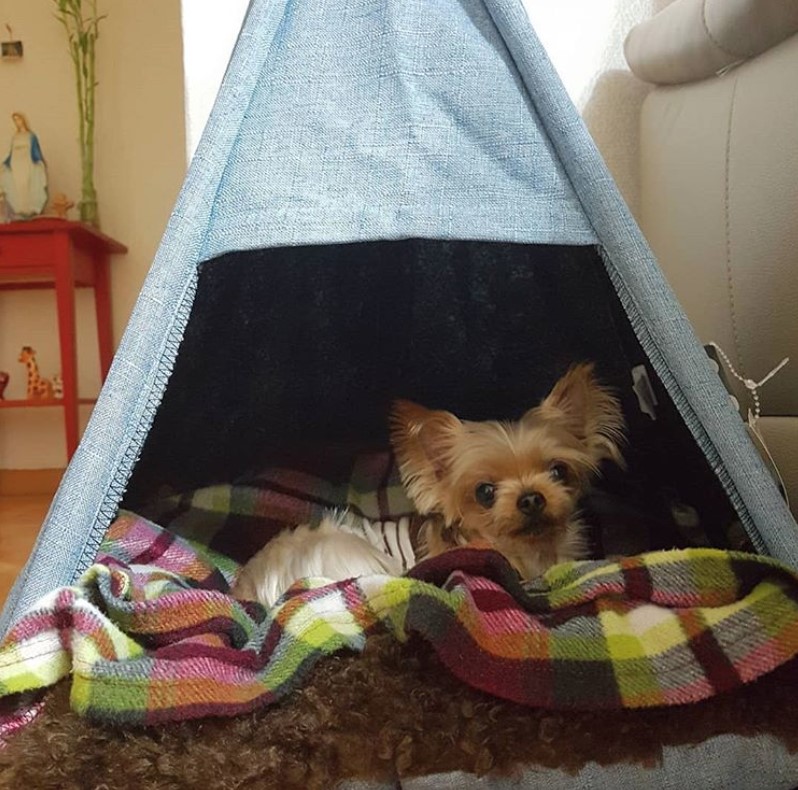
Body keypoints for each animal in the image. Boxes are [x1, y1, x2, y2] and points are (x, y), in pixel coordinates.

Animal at [234, 366, 628, 608]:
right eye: (484, 492)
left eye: (559, 472)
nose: (531, 499)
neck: (530, 551)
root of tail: (247, 585)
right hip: (350, 552)